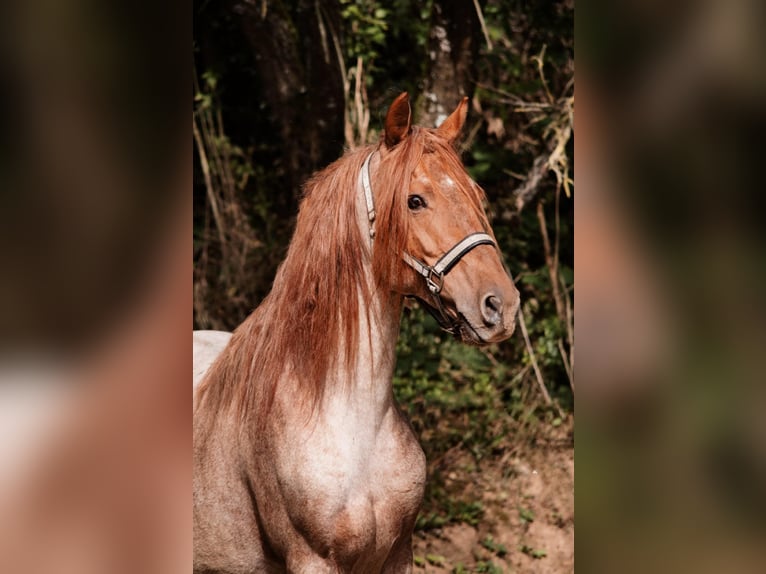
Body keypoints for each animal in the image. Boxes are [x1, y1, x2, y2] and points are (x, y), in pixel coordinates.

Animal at [193, 92, 520, 573]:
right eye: (415, 200)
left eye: (477, 195)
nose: (502, 305)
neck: (353, 425)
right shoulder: (313, 560)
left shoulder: (398, 555)